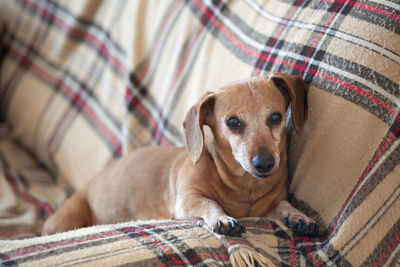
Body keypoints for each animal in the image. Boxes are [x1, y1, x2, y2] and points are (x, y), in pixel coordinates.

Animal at [43, 73, 318, 237]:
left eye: (276, 117)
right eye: (232, 122)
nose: (265, 164)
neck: (242, 187)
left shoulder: (270, 204)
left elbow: (283, 204)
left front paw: (298, 216)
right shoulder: (187, 198)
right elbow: (210, 203)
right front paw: (223, 218)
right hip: (67, 218)